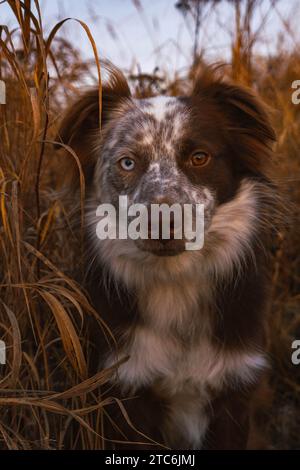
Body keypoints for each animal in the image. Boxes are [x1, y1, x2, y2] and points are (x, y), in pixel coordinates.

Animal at [57, 65, 278, 448]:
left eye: (199, 157)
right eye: (127, 162)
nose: (161, 222)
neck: (176, 281)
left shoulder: (234, 389)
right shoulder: (129, 387)